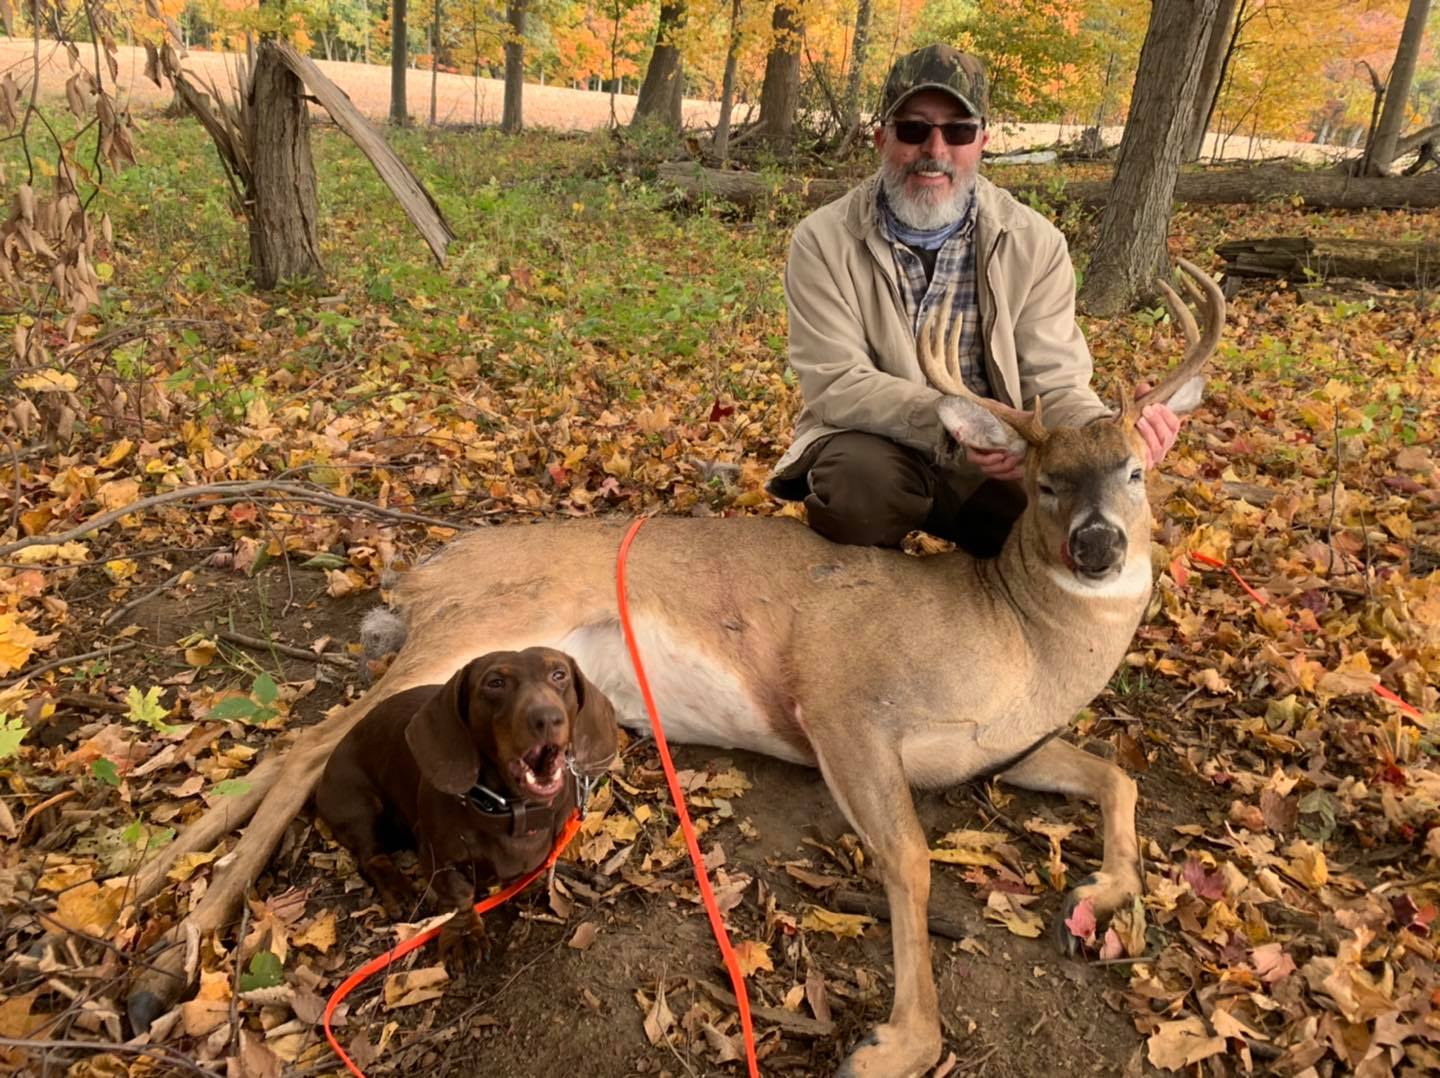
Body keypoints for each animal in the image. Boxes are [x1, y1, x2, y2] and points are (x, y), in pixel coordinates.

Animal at [125, 261, 1223, 1078]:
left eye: (1136, 470)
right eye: (1044, 482)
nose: (1097, 544)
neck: (1010, 647)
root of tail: (420, 570)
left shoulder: (1003, 748)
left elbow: (1117, 776)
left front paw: (1097, 899)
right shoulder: (841, 701)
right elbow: (909, 859)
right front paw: (893, 1042)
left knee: (295, 751)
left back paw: (148, 904)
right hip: (467, 638)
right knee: (308, 744)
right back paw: (171, 950)